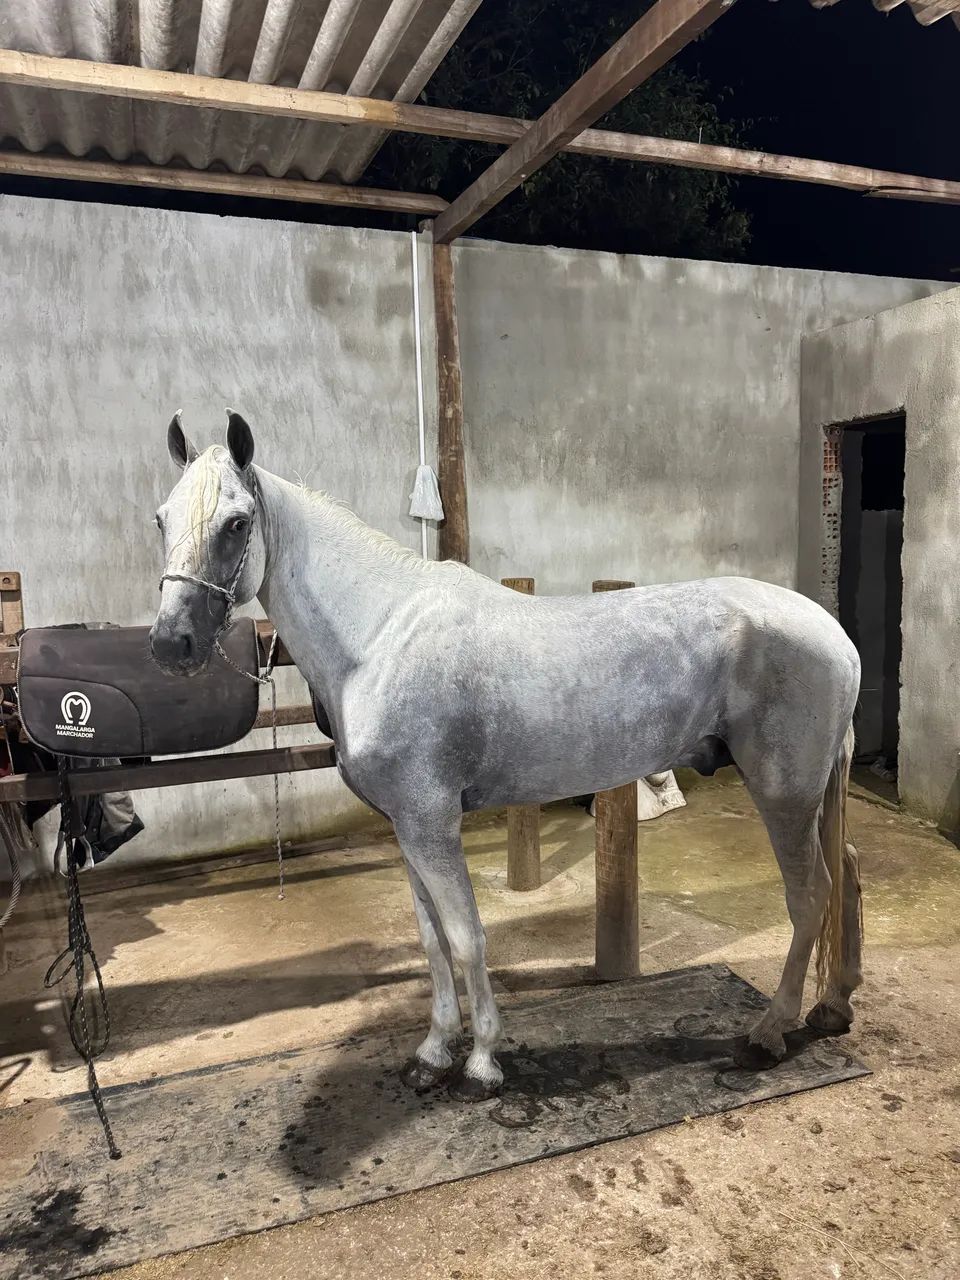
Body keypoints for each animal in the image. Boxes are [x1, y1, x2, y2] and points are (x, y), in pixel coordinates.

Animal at [149, 411, 863, 1100]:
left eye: (237, 523)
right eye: (161, 518)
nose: (170, 644)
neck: (381, 636)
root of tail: (833, 634)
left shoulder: (433, 825)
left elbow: (466, 938)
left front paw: (482, 1063)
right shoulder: (408, 827)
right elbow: (433, 941)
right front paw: (433, 1054)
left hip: (783, 795)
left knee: (811, 895)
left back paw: (769, 1032)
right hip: (811, 795)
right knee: (846, 874)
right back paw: (832, 1007)